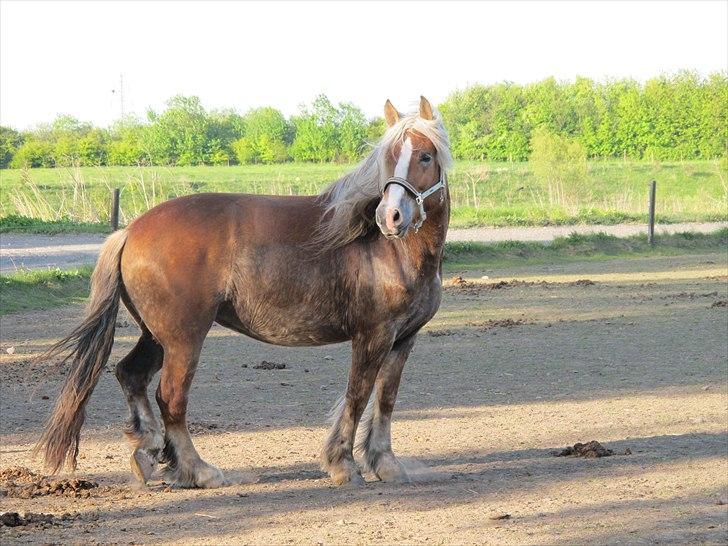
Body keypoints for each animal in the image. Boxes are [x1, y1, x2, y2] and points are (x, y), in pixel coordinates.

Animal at [38, 95, 456, 486]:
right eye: (389, 157)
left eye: (424, 156)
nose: (390, 217)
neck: (390, 250)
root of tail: (129, 231)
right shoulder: (372, 335)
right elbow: (358, 395)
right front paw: (343, 465)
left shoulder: (402, 339)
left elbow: (386, 398)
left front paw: (385, 463)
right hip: (184, 339)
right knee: (170, 396)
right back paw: (198, 470)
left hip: (157, 336)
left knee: (131, 375)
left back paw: (149, 452)